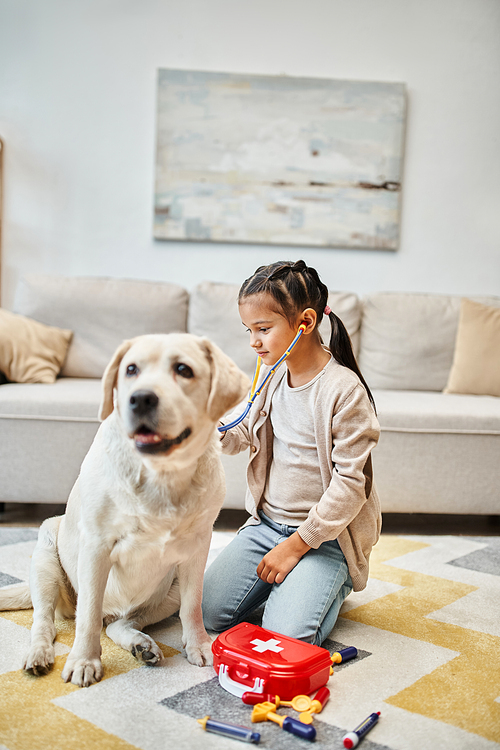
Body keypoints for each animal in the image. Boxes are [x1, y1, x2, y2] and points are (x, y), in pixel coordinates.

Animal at [0, 334, 249, 688]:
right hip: (47, 553)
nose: (141, 399)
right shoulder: (96, 547)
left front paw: (199, 645)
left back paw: (142, 646)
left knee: (119, 623)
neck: (161, 474)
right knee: (45, 621)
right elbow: (87, 616)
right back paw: (39, 654)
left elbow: (193, 606)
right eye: (131, 369)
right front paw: (84, 660)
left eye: (183, 370)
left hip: (168, 591)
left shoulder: (198, 547)